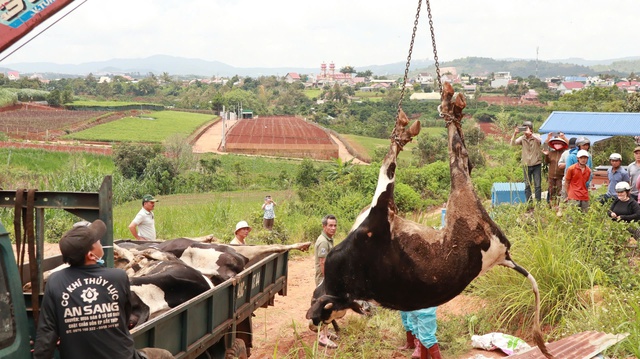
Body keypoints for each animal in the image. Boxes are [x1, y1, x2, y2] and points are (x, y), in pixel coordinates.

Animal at [308, 83, 552, 358]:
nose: (313, 323)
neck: (341, 286)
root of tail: (504, 256)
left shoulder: (377, 217)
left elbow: (387, 169)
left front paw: (400, 133)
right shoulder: (381, 216)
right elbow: (388, 170)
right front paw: (402, 133)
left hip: (461, 201)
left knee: (459, 154)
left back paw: (448, 105)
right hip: (464, 203)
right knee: (461, 155)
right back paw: (450, 106)